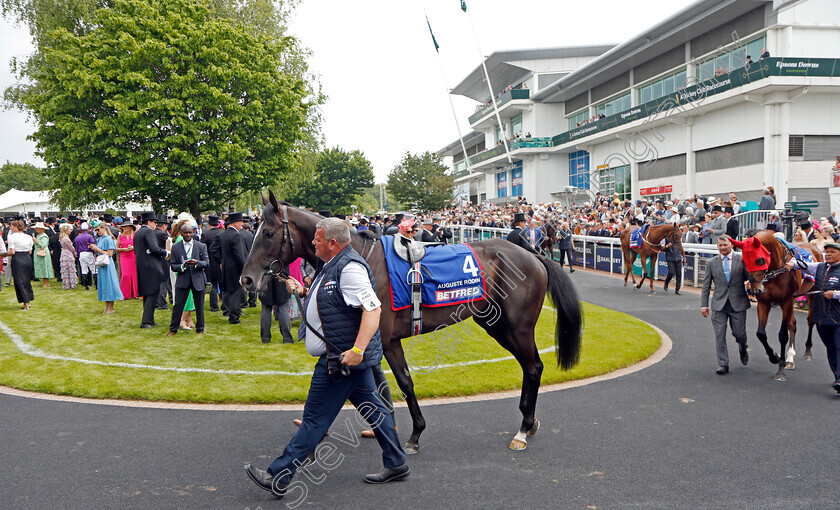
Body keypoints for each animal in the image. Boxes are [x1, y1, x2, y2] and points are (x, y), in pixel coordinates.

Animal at [241, 193, 584, 452]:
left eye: (268, 233)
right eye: (255, 231)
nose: (247, 279)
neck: (363, 261)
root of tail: (533, 256)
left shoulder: (381, 339)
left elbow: (393, 384)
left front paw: (411, 434)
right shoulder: (377, 342)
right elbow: (388, 385)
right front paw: (387, 428)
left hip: (517, 326)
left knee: (534, 367)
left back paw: (523, 430)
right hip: (497, 325)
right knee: (529, 366)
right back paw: (529, 422)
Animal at [736, 233, 820, 380]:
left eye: (759, 260)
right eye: (744, 261)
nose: (753, 289)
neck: (777, 269)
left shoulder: (786, 301)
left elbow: (782, 335)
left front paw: (780, 370)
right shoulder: (764, 303)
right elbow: (761, 334)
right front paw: (774, 357)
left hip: (811, 293)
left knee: (810, 320)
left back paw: (807, 352)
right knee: (792, 324)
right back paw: (790, 358)